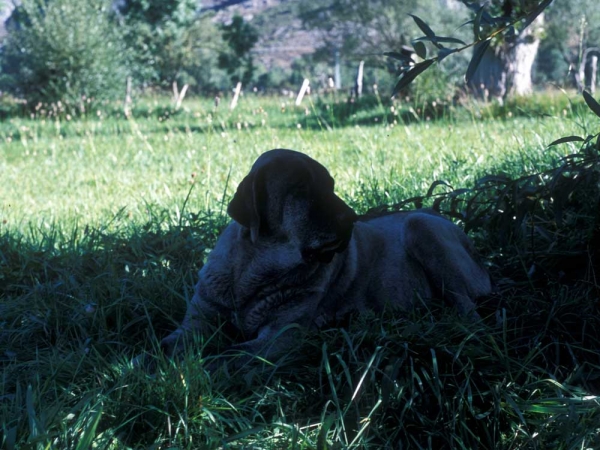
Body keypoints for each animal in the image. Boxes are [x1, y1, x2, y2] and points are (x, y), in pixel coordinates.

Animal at [161, 149, 492, 364]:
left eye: (330, 186)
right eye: (301, 189)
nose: (352, 218)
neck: (253, 269)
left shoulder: (280, 335)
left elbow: (225, 354)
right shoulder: (195, 323)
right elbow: (165, 345)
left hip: (420, 225)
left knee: (468, 308)